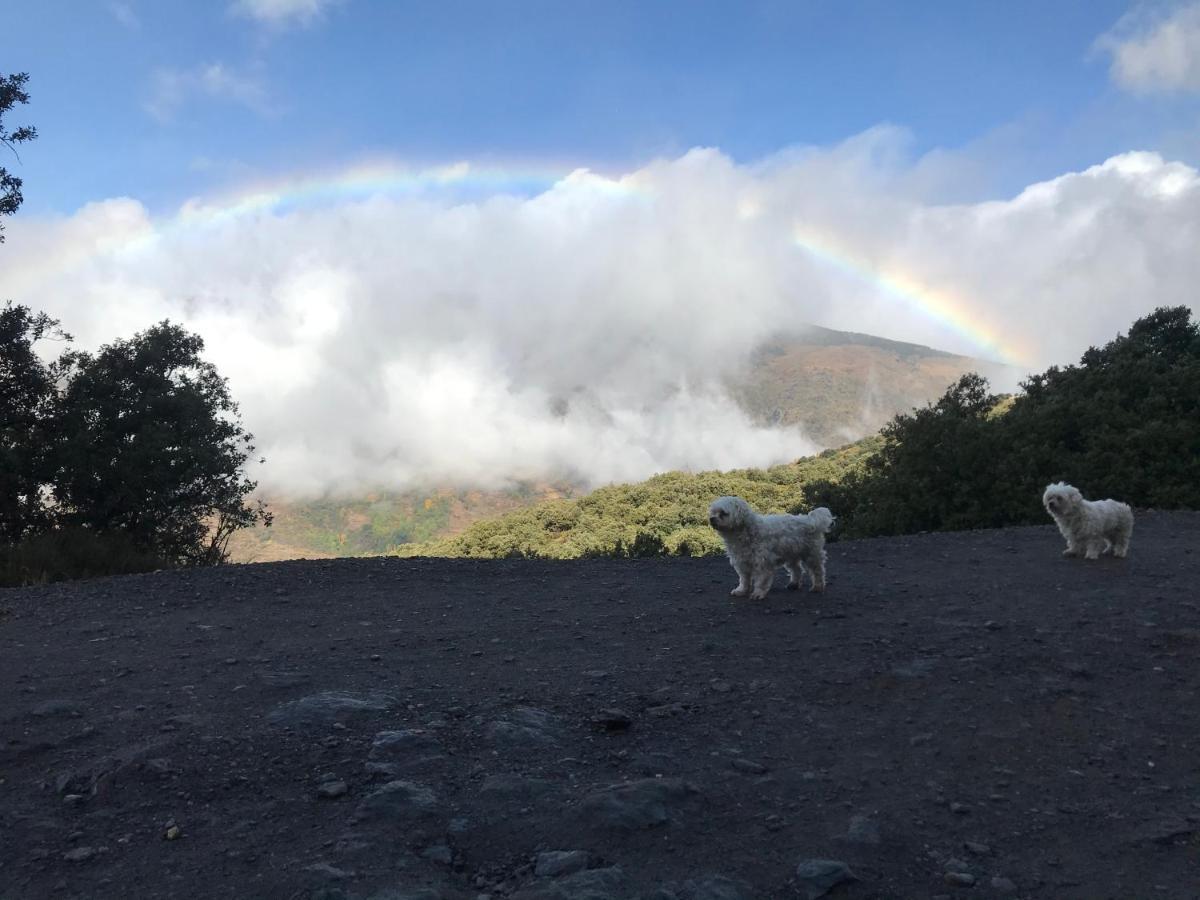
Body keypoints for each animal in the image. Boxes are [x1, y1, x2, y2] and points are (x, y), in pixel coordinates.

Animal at [700, 496, 835, 602]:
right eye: (713, 512)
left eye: (723, 513)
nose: (712, 518)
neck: (744, 532)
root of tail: (811, 520)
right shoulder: (742, 562)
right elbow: (744, 579)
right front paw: (741, 591)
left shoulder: (762, 562)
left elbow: (761, 580)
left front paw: (758, 593)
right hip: (791, 554)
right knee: (797, 569)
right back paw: (794, 584)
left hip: (811, 553)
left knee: (817, 570)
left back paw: (818, 586)